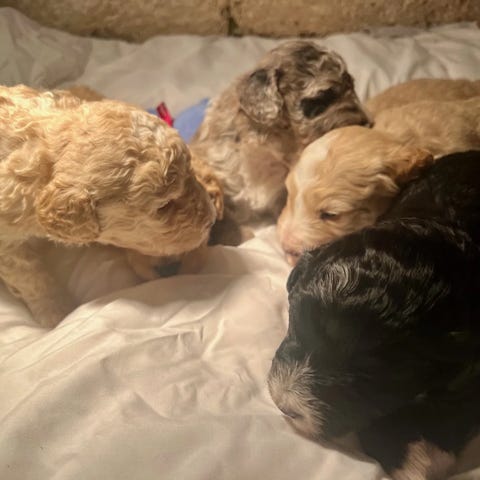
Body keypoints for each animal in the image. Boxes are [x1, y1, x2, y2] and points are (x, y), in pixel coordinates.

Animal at [0, 85, 216, 327]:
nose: (211, 219)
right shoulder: (6, 240)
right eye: (164, 205)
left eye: (191, 173)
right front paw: (55, 311)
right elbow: (28, 276)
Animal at [191, 40, 370, 242]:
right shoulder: (220, 173)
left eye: (352, 88)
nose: (367, 123)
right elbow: (223, 217)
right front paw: (238, 236)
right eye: (319, 101)